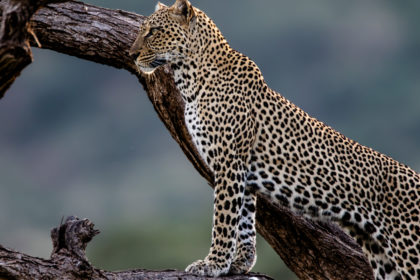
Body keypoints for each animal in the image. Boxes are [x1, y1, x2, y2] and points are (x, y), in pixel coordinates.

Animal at [129, 1, 420, 278]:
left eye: (154, 31)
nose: (131, 54)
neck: (189, 78)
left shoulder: (230, 163)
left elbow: (223, 219)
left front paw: (214, 264)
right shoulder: (242, 172)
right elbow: (244, 220)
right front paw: (239, 263)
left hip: (409, 253)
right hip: (382, 257)